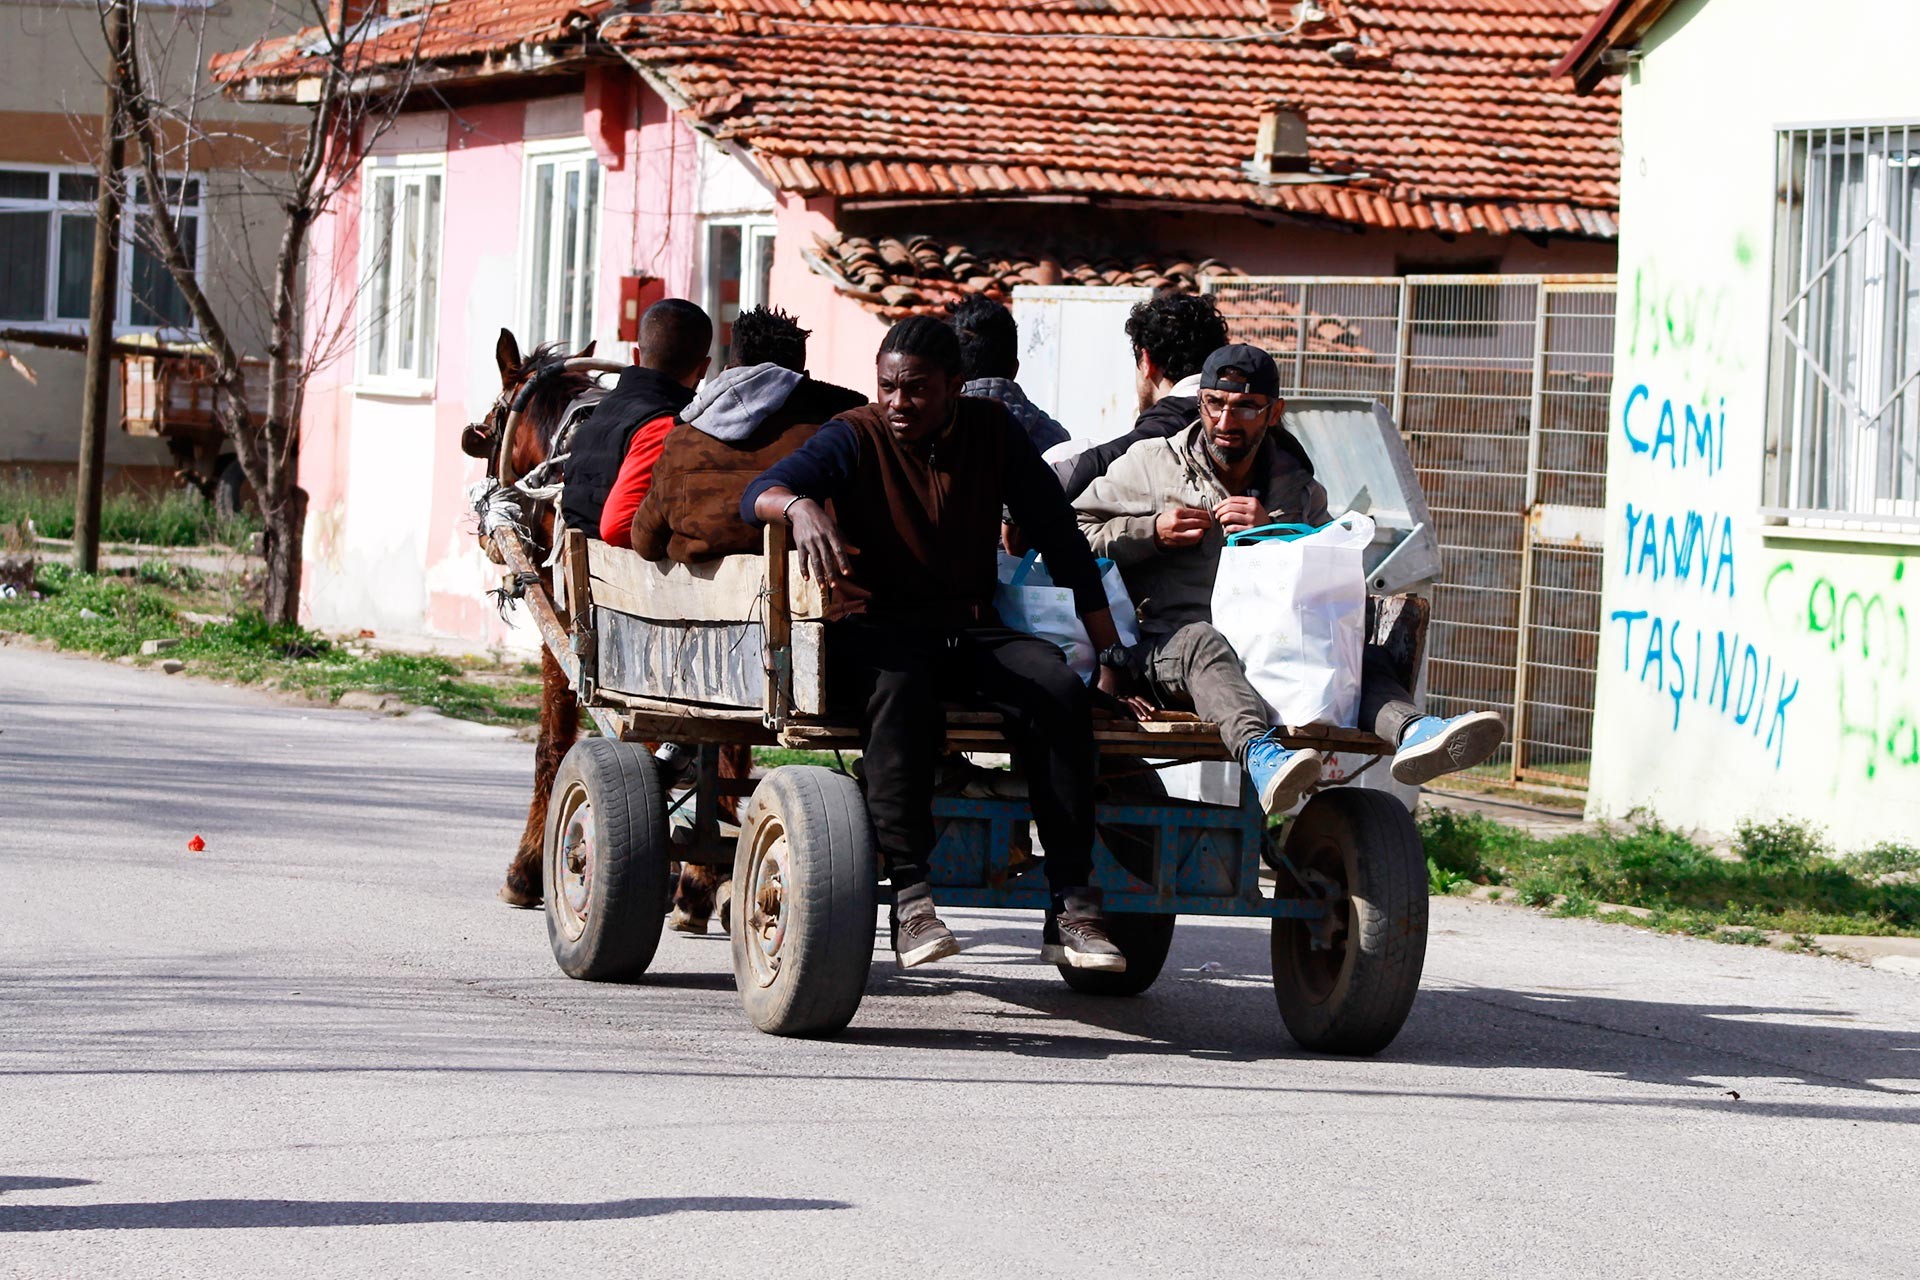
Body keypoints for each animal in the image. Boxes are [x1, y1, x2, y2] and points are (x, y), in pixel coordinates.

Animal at [462, 330, 733, 932]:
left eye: (493, 421)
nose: (484, 528)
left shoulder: (566, 631)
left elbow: (553, 745)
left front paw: (525, 873)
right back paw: (703, 882)